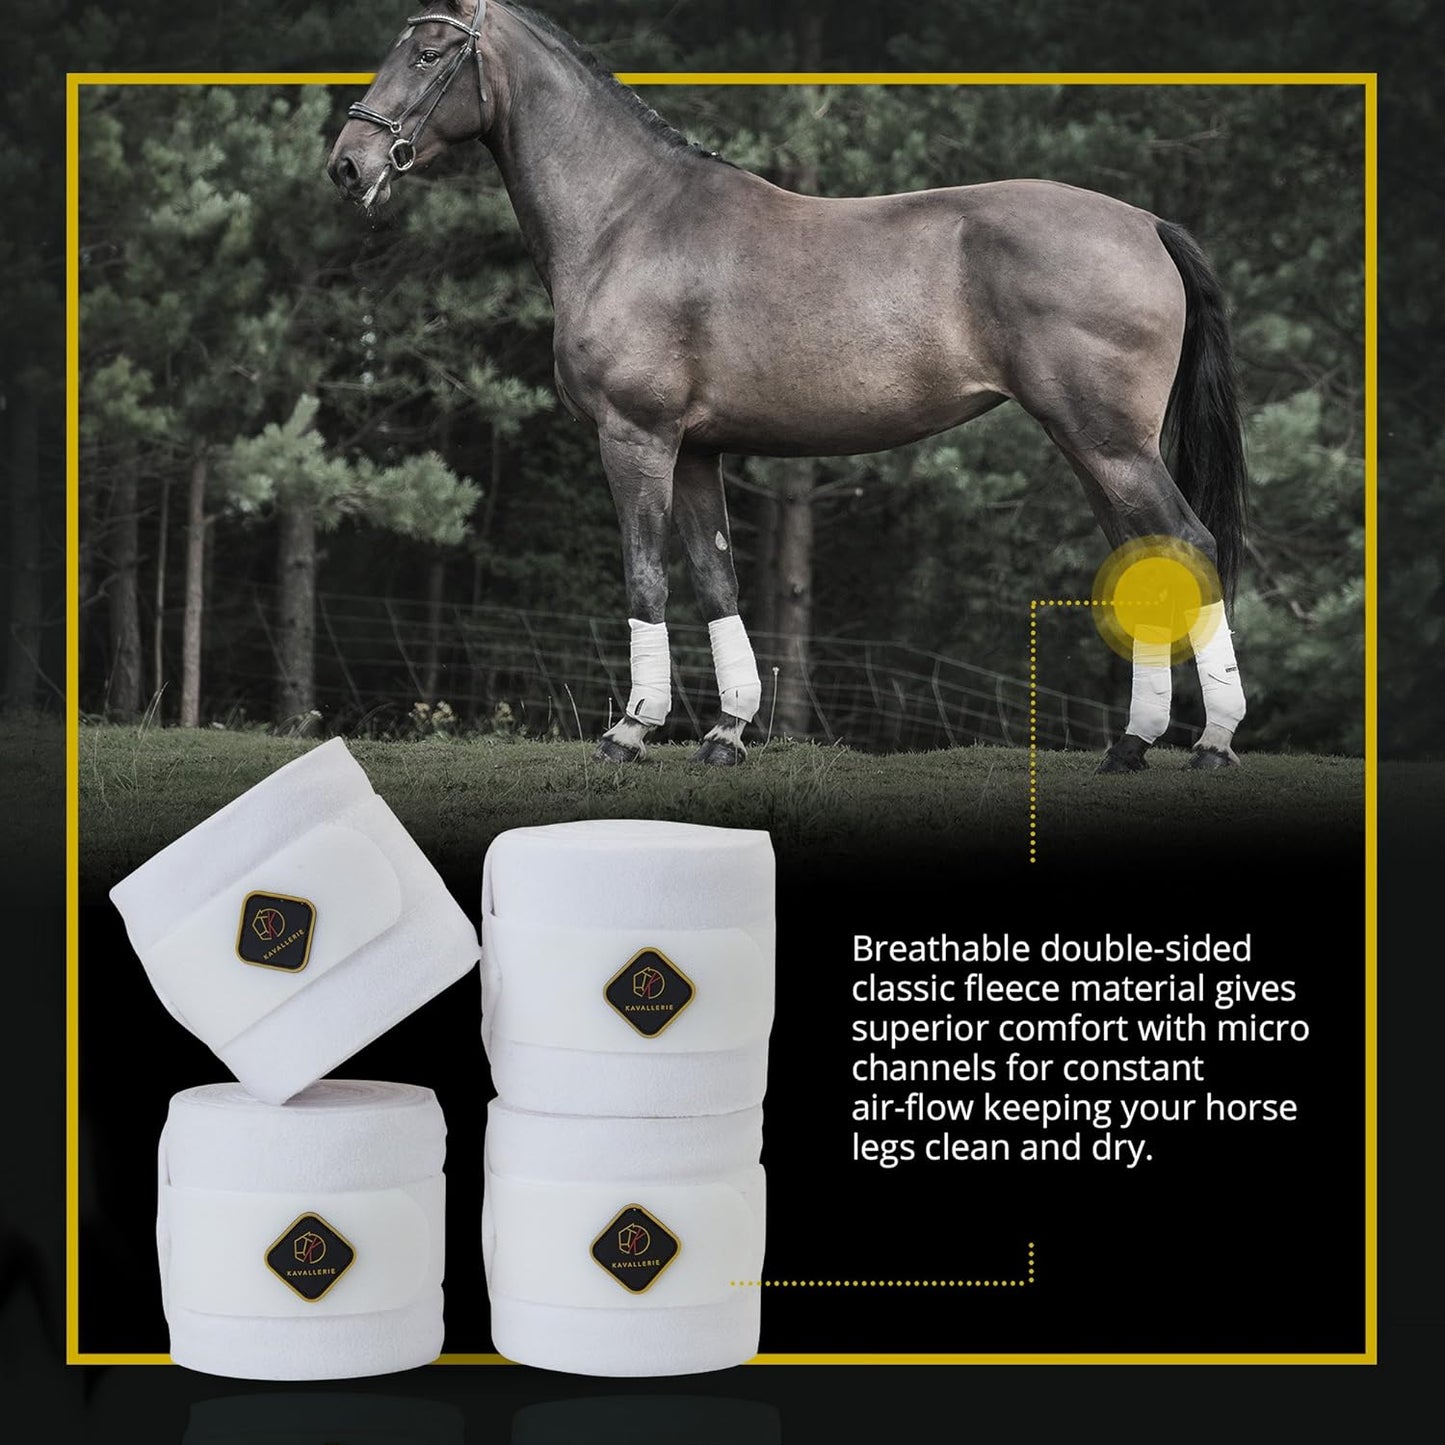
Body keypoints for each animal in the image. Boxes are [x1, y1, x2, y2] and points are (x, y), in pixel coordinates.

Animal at [328, 0, 1248, 772]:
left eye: (428, 51)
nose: (347, 165)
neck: (629, 219)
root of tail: (1146, 224)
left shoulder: (636, 436)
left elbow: (645, 574)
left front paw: (630, 729)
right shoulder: (697, 451)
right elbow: (715, 579)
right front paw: (726, 733)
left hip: (1108, 442)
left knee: (1189, 543)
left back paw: (1210, 744)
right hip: (1090, 446)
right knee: (1148, 559)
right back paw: (1131, 744)